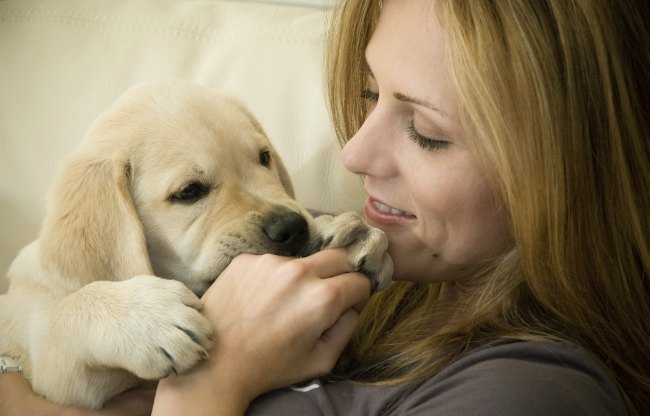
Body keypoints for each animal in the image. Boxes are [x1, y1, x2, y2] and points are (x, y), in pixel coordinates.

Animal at [0, 80, 390, 410]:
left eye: (264, 157)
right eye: (189, 192)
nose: (292, 229)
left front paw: (340, 230)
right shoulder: (60, 375)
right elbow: (68, 313)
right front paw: (147, 318)